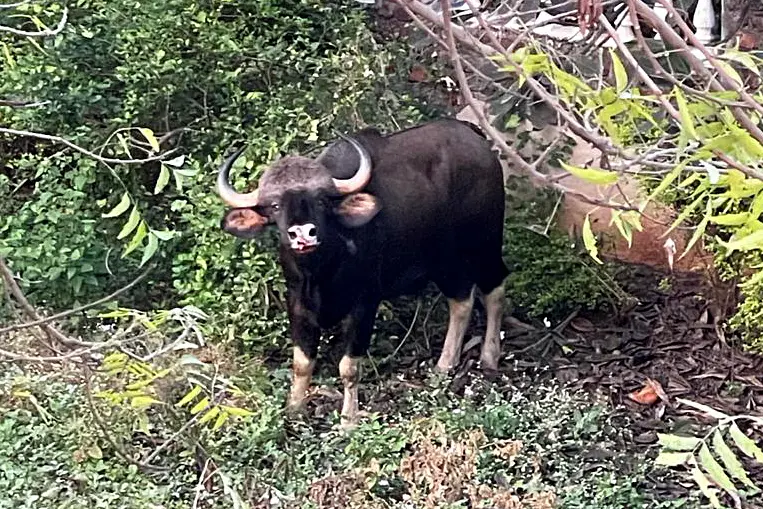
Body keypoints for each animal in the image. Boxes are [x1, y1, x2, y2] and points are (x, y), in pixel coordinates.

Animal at [217, 119, 508, 428]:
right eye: (275, 206)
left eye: (321, 201)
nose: (303, 234)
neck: (321, 272)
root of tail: (478, 142)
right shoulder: (297, 304)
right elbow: (302, 363)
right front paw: (294, 411)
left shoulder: (364, 304)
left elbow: (348, 367)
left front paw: (348, 420)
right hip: (445, 262)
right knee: (462, 299)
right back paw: (445, 366)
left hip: (484, 244)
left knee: (494, 287)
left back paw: (489, 357)